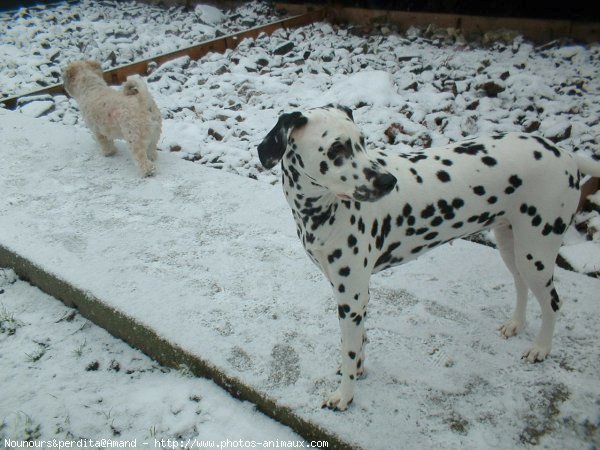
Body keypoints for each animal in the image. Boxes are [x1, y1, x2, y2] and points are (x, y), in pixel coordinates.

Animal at [258, 103, 600, 410]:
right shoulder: (350, 295)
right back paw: (516, 324)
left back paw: (541, 348)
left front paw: (345, 395)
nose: (388, 182)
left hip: (535, 253)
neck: (325, 210)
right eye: (336, 149)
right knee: (521, 285)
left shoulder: (352, 298)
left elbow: (350, 349)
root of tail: (566, 154)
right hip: (511, 245)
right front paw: (357, 370)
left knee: (553, 303)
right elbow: (358, 343)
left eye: (362, 141)